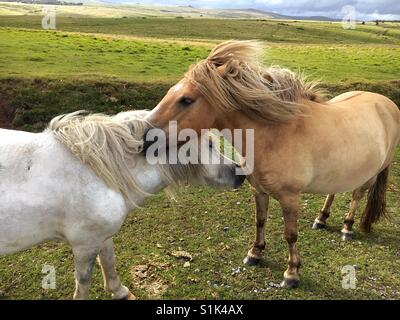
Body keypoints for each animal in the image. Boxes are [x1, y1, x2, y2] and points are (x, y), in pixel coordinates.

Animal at [0, 110, 244, 300]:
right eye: (210, 144)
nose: (240, 174)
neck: (96, 171)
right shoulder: (84, 244)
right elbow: (84, 280)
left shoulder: (101, 236)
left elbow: (109, 260)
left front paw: (118, 291)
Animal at [144, 40, 400, 288]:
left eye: (186, 100)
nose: (146, 137)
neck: (275, 134)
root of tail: (387, 104)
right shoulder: (258, 190)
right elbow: (260, 221)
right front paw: (255, 253)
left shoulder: (290, 197)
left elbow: (290, 234)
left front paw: (292, 273)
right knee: (334, 192)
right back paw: (321, 218)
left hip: (369, 176)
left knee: (356, 196)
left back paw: (347, 227)